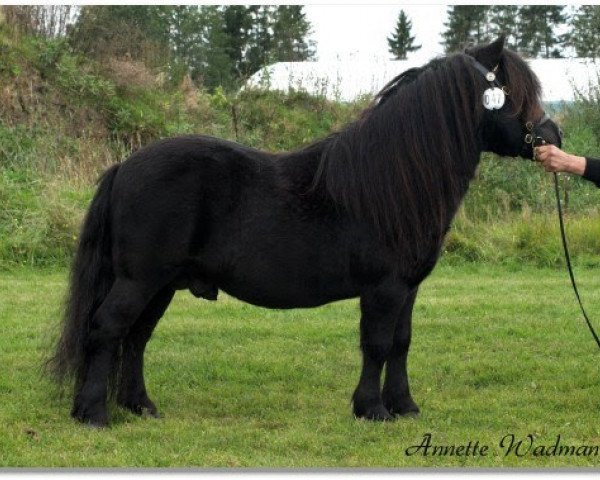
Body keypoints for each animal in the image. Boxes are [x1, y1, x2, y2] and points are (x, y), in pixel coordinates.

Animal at [48, 38, 564, 428]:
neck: (392, 181)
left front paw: (404, 407)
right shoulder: (384, 289)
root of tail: (124, 167)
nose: (553, 138)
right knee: (107, 329)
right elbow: (377, 344)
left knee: (134, 338)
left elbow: (401, 343)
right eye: (511, 92)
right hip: (139, 280)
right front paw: (371, 409)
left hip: (161, 285)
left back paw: (140, 407)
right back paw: (93, 414)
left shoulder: (408, 289)